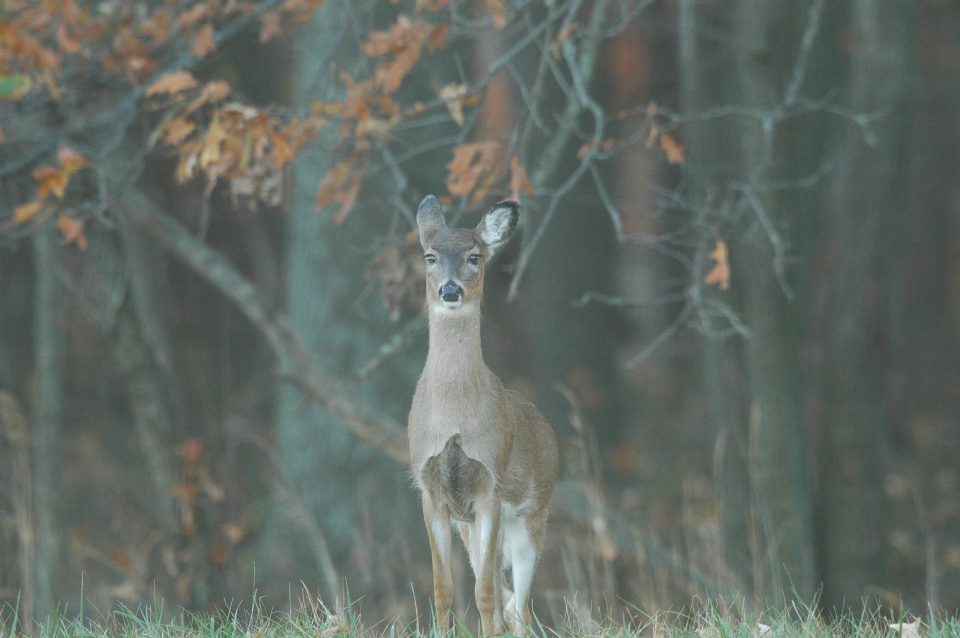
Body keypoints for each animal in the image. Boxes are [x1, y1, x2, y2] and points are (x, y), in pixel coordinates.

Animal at [406, 196, 560, 638]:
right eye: (430, 256)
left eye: (474, 256)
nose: (450, 289)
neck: (455, 415)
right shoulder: (430, 488)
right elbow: (443, 589)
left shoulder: (490, 482)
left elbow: (486, 594)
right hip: (469, 525)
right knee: (502, 593)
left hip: (533, 512)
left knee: (519, 604)